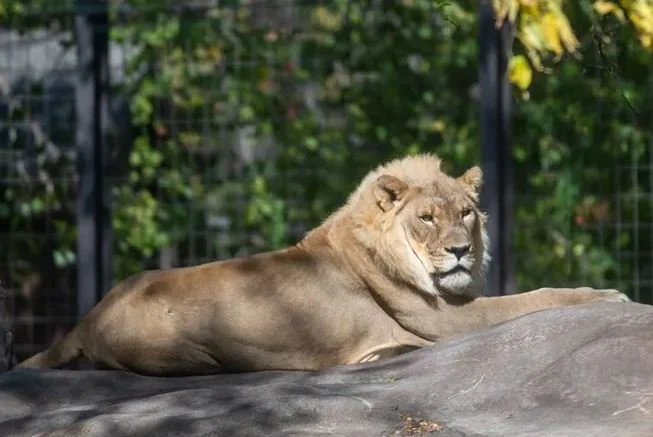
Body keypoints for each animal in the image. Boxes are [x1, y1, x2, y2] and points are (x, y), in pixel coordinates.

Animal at [17, 154, 629, 376]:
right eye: (426, 218)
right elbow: (537, 298)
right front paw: (607, 296)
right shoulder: (447, 320)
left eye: (466, 214)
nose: (460, 250)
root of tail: (84, 321)